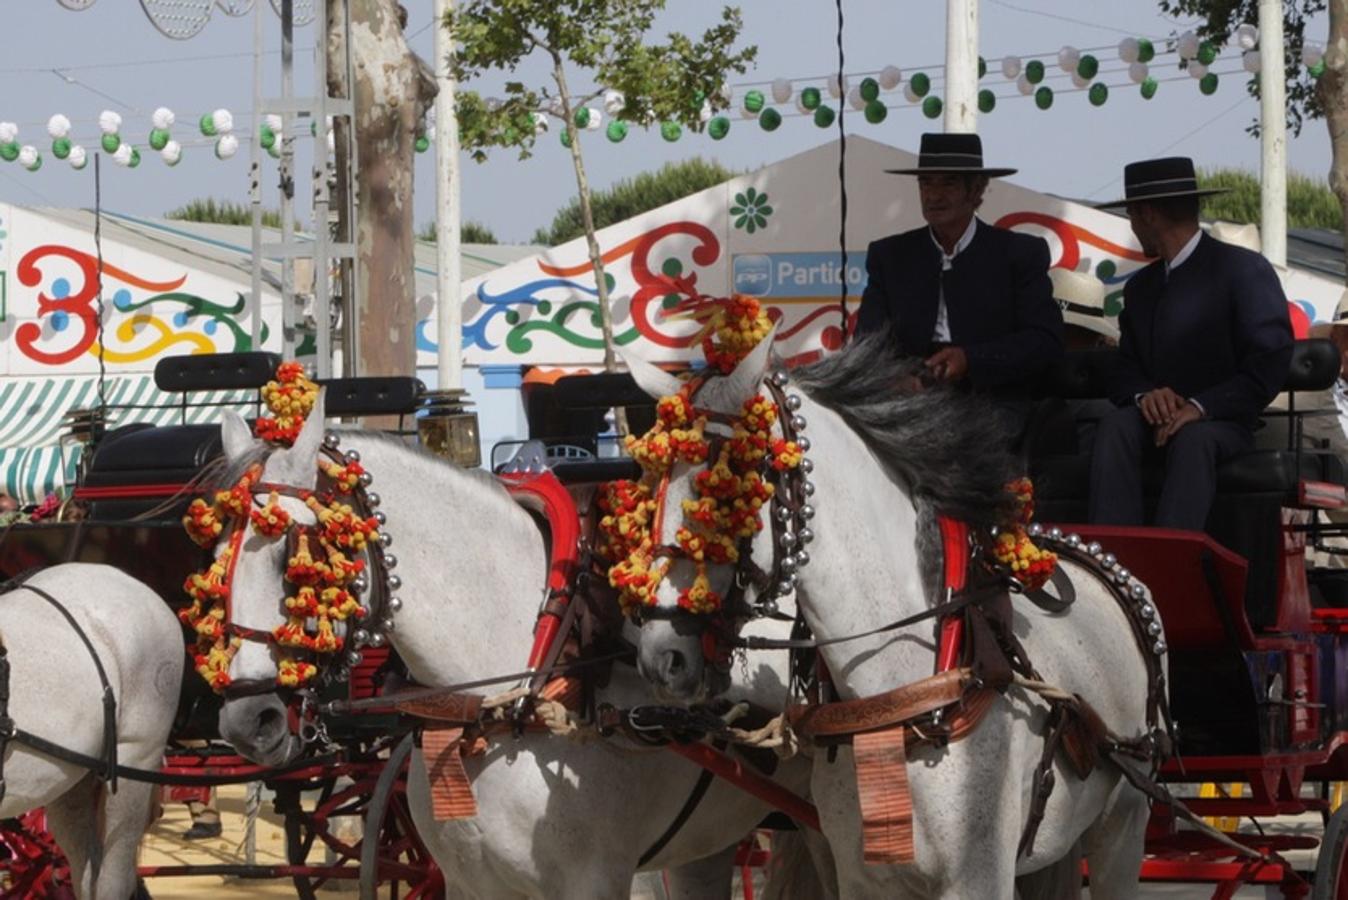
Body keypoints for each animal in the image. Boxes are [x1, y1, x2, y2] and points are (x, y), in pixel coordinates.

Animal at [625, 332, 1164, 900]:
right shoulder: (862, 875)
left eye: (725, 490)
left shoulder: (979, 875)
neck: (901, 697)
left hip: (1123, 825)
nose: (663, 658)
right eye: (651, 486)